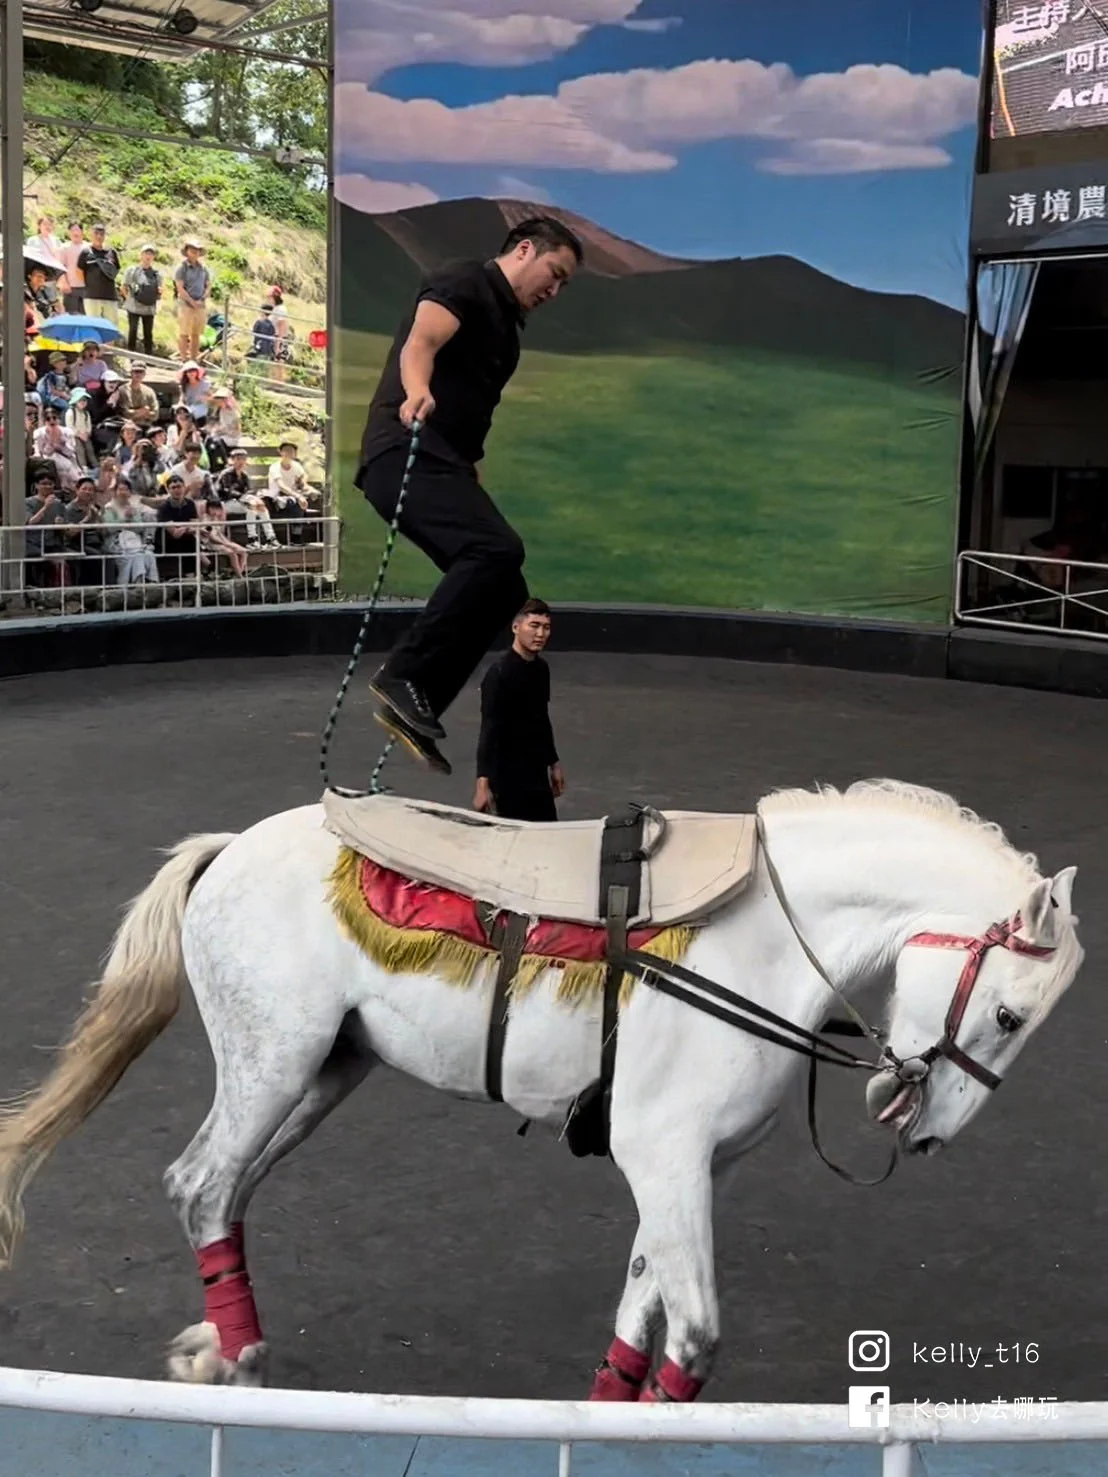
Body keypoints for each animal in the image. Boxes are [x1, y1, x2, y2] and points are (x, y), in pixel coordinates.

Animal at [0, 779, 1087, 1400]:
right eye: (1006, 1016)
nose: (924, 1126)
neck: (760, 944)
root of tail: (228, 848)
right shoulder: (664, 1156)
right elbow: (693, 1336)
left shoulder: (694, 1169)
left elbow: (640, 1323)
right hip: (272, 1063)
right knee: (205, 1184)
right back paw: (237, 1360)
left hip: (321, 1072)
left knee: (216, 1191)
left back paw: (221, 1344)